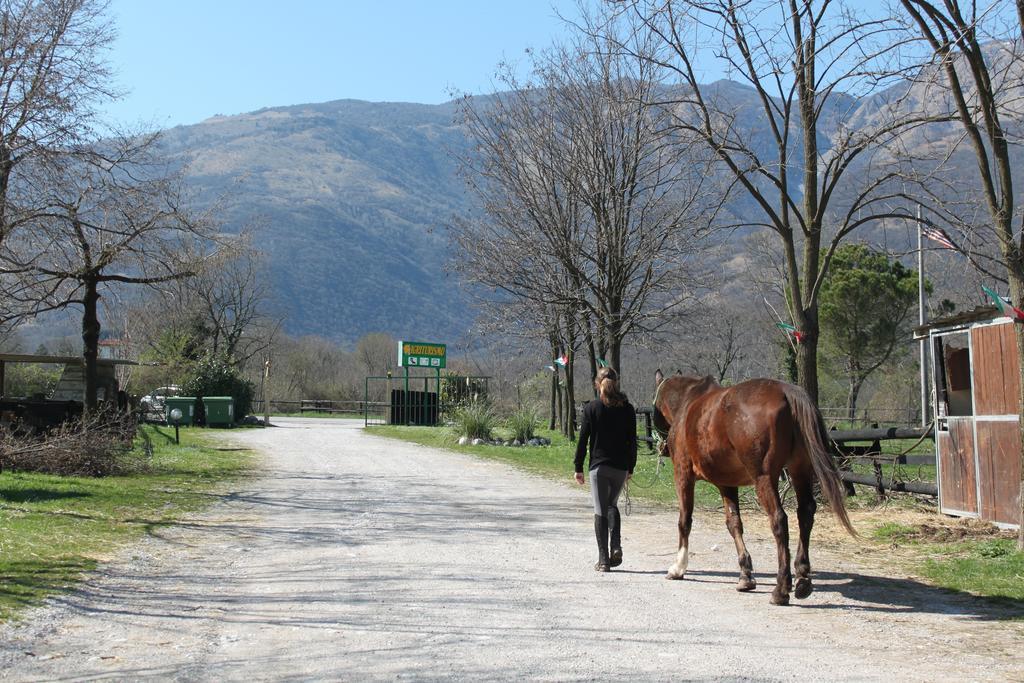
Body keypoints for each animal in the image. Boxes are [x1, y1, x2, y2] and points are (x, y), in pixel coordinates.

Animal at [655, 370, 856, 606]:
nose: (661, 447)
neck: (689, 403)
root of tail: (787, 392)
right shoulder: (727, 484)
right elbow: (734, 524)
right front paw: (745, 575)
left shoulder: (683, 476)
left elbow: (684, 521)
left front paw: (678, 567)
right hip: (800, 470)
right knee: (805, 513)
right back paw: (803, 578)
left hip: (765, 478)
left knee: (779, 520)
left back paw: (781, 589)